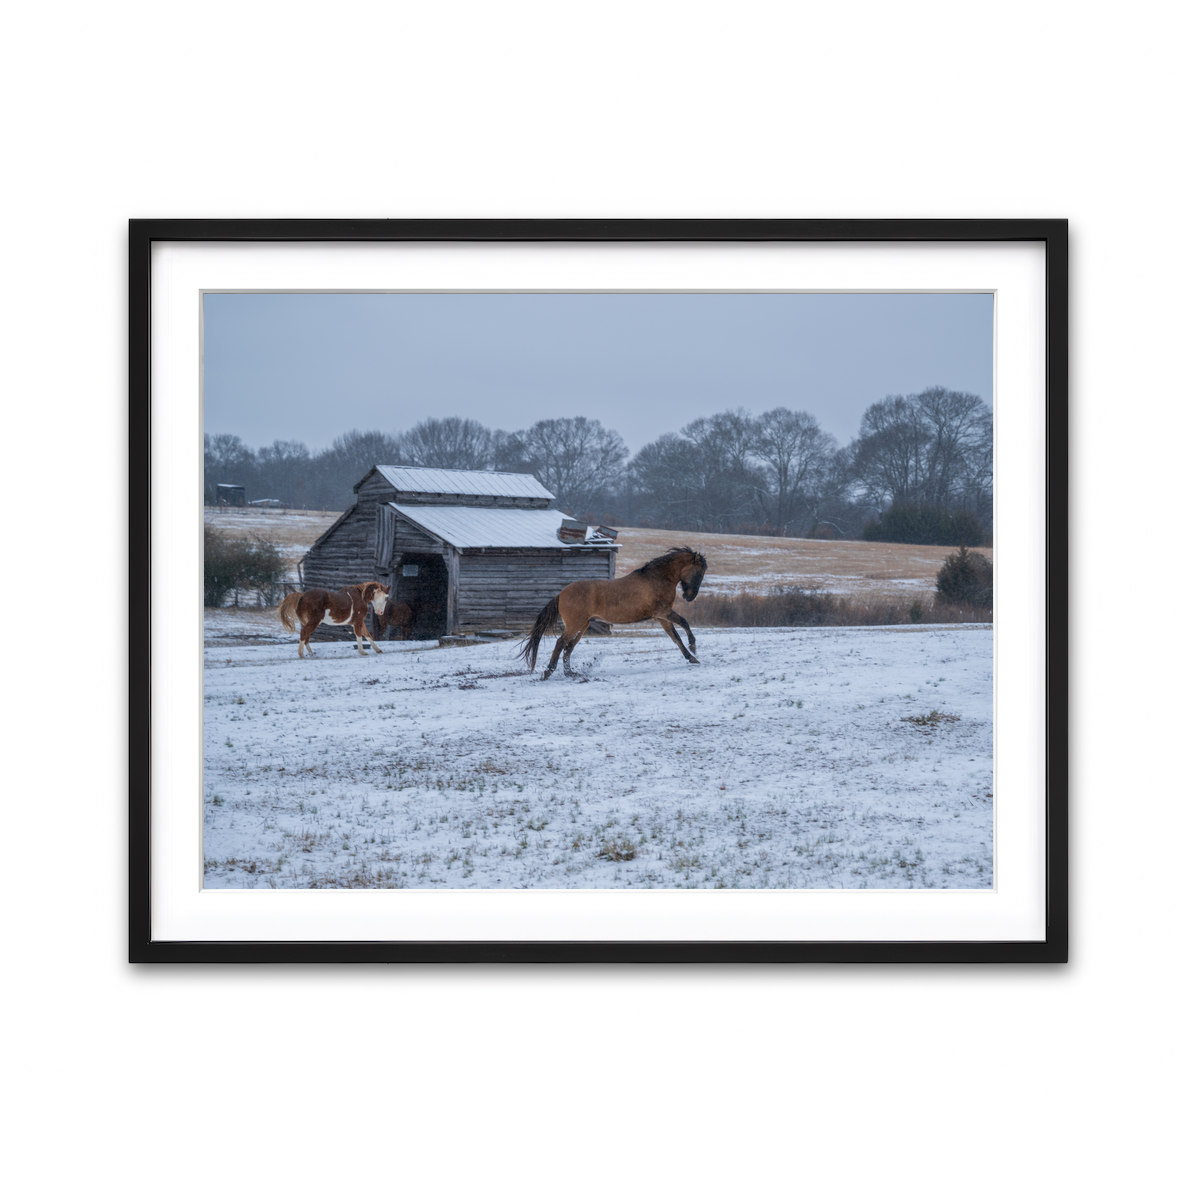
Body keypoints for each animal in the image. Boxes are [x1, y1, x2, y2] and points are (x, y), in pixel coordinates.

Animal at [519, 547, 707, 679]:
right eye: (699, 573)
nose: (689, 597)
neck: (657, 578)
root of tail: (561, 594)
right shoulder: (663, 612)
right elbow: (684, 623)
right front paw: (693, 647)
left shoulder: (661, 617)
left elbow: (675, 637)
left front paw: (691, 658)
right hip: (575, 625)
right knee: (560, 643)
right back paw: (548, 672)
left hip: (583, 625)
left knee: (568, 647)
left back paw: (570, 673)